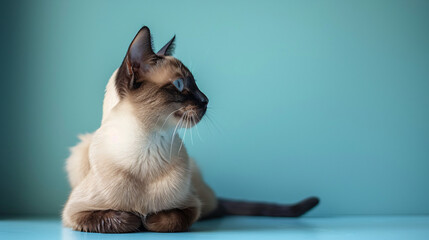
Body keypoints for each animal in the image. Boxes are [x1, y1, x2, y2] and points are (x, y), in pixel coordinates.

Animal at [62, 26, 318, 232]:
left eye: (195, 83)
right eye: (179, 84)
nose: (206, 100)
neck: (147, 146)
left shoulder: (190, 206)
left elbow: (167, 218)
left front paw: (148, 219)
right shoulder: (74, 213)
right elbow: (121, 218)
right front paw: (137, 218)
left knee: (216, 208)